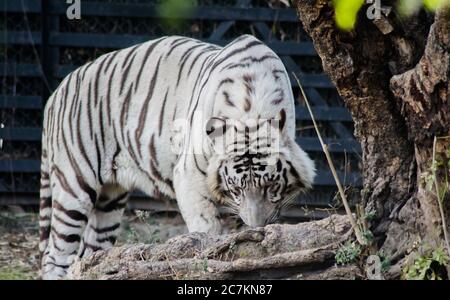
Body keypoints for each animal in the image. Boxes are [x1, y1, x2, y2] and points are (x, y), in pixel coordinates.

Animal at [38, 34, 314, 278]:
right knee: (55, 255)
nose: (257, 227)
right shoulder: (190, 177)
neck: (251, 109)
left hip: (109, 200)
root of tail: (55, 93)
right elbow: (207, 229)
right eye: (236, 189)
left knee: (90, 252)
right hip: (74, 185)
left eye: (270, 186)